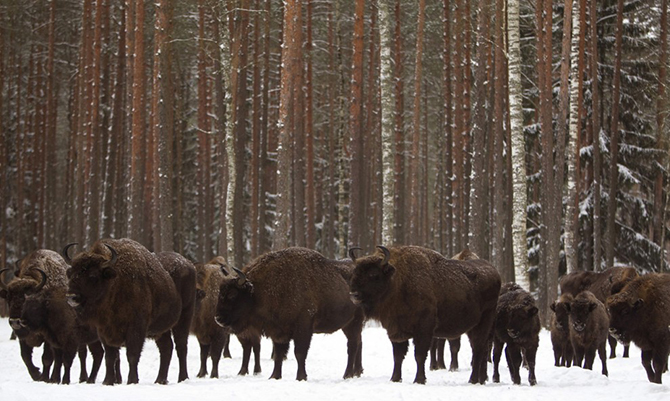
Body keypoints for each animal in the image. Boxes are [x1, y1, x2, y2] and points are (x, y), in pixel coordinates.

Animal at [0, 250, 68, 382]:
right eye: (9, 298)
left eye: (25, 299)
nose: (15, 321)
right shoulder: (23, 337)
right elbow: (25, 356)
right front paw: (36, 375)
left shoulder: (48, 336)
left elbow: (47, 358)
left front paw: (44, 377)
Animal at [65, 238, 196, 384]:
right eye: (71, 274)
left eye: (93, 276)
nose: (71, 296)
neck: (116, 282)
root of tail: (189, 264)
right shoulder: (105, 330)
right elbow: (110, 357)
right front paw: (108, 381)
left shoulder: (136, 328)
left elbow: (132, 355)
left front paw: (132, 380)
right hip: (160, 329)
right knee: (166, 347)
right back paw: (160, 380)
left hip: (184, 317)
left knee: (181, 346)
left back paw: (182, 378)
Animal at [215, 245, 364, 380]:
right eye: (220, 292)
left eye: (233, 294)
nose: (218, 318)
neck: (258, 291)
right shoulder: (278, 331)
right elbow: (278, 354)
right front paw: (274, 376)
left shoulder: (303, 328)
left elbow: (299, 353)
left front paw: (301, 377)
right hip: (348, 325)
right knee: (357, 343)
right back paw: (356, 372)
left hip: (354, 322)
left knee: (352, 346)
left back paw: (347, 375)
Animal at [350, 245, 502, 382]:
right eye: (355, 272)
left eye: (373, 274)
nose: (354, 294)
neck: (398, 281)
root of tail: (494, 272)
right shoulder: (396, 331)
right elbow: (398, 356)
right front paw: (395, 379)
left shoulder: (423, 329)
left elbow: (419, 355)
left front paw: (419, 380)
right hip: (474, 328)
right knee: (481, 350)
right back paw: (482, 379)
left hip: (483, 324)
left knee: (478, 349)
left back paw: (473, 380)